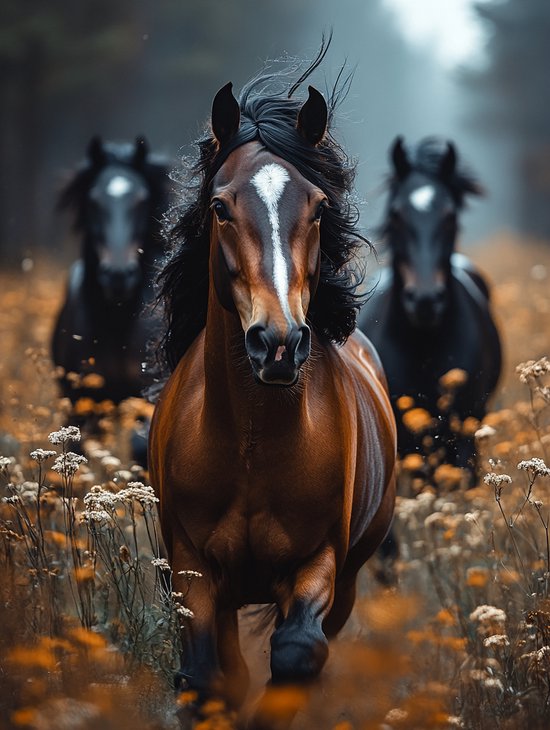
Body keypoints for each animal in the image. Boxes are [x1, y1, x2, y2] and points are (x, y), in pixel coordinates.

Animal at [148, 54, 396, 725]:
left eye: (318, 207)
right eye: (219, 207)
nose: (278, 343)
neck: (252, 446)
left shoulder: (319, 565)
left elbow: (295, 654)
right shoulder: (194, 567)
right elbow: (207, 677)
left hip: (349, 578)